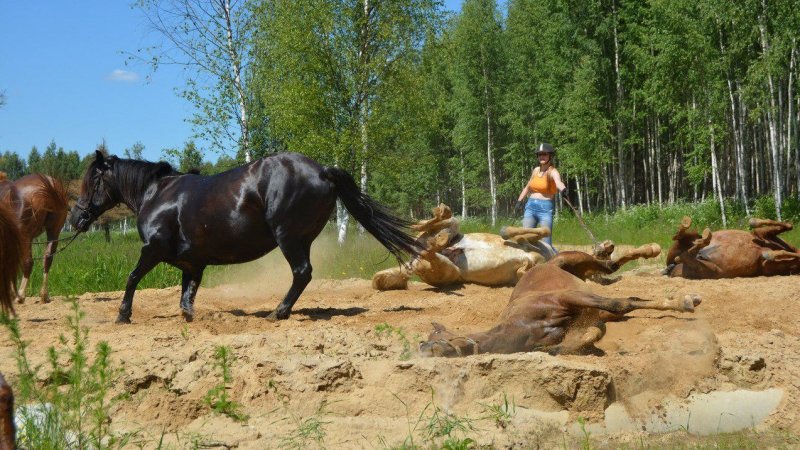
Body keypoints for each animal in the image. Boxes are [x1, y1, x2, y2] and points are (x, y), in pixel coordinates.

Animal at [0, 172, 69, 302]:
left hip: (24, 234)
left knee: (28, 262)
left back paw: (20, 295)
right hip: (54, 231)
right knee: (47, 259)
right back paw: (44, 295)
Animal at [71, 151, 422, 324]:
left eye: (91, 182)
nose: (75, 217)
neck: (157, 194)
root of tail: (322, 170)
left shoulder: (152, 249)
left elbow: (132, 278)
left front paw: (123, 315)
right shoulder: (193, 264)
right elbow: (186, 297)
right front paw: (188, 319)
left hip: (288, 237)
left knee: (302, 273)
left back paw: (278, 312)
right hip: (301, 238)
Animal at [374, 203, 556, 290]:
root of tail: (412, 260)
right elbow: (515, 232)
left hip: (445, 268)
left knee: (429, 252)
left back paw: (438, 241)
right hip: (444, 233)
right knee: (432, 224)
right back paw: (441, 217)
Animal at [418, 244, 700, 356]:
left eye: (436, 338)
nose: (423, 351)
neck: (524, 325)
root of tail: (547, 263)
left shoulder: (570, 297)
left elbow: (620, 302)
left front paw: (683, 302)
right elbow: (590, 334)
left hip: (576, 260)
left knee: (609, 266)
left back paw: (652, 251)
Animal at [664, 215, 800, 278]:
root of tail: (671, 267)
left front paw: (771, 254)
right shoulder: (761, 234)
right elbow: (787, 225)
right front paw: (754, 221)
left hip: (709, 270)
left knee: (686, 255)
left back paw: (703, 239)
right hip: (687, 243)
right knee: (681, 239)